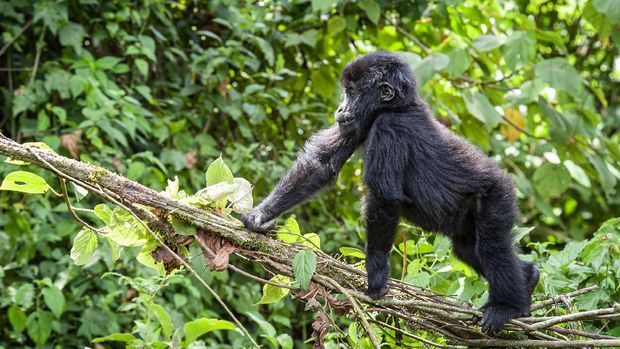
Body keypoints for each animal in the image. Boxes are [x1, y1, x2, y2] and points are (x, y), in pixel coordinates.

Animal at [242, 50, 536, 330]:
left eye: (352, 92)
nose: (340, 108)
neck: (397, 106)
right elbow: (320, 164)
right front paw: (260, 215)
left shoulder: (389, 128)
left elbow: (384, 200)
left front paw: (376, 270)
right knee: (467, 248)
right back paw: (529, 276)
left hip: (497, 194)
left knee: (492, 246)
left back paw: (509, 306)